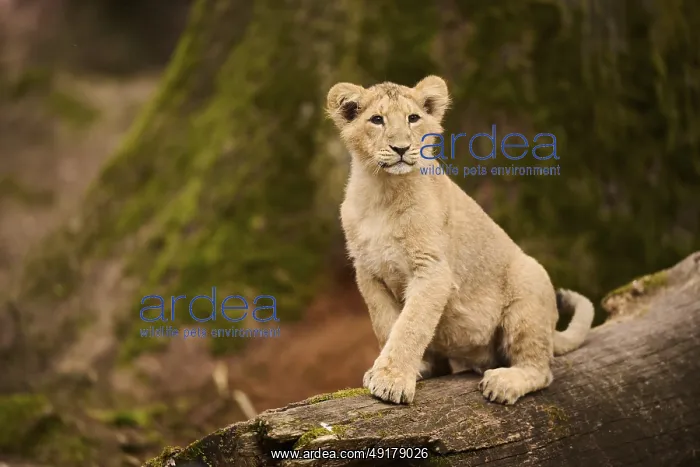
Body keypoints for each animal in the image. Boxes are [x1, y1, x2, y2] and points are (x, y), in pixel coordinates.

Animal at [325, 75, 594, 405]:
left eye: (413, 118)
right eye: (377, 120)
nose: (401, 148)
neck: (382, 191)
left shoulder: (433, 270)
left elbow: (411, 325)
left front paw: (392, 379)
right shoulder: (368, 273)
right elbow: (387, 325)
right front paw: (400, 370)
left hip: (529, 280)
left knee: (540, 369)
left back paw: (504, 382)